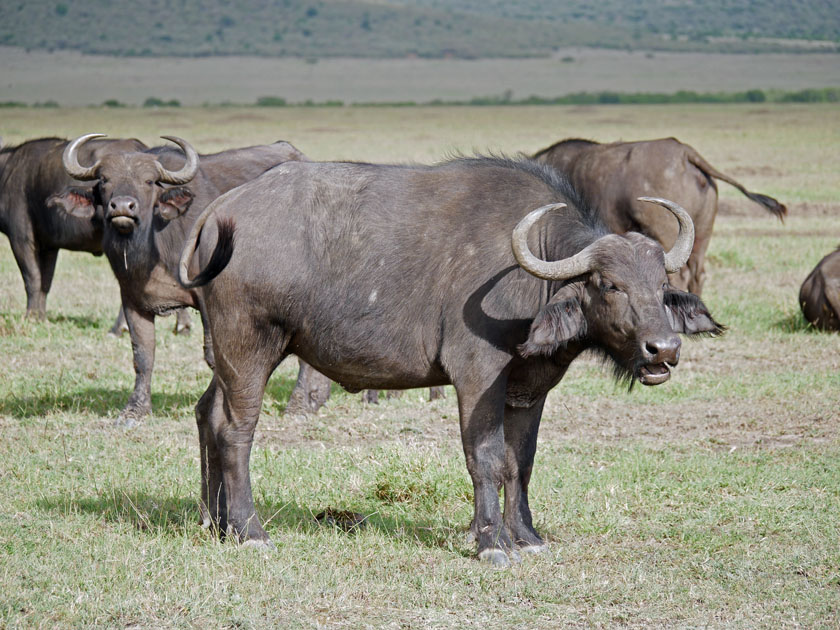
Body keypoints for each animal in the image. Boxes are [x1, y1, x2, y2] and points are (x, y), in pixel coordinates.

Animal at [49, 133, 306, 430]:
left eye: (148, 181)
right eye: (104, 180)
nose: (123, 207)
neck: (152, 250)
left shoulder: (208, 301)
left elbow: (213, 355)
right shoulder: (132, 299)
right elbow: (142, 355)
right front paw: (134, 410)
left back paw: (300, 404)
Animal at [176, 154, 720, 568]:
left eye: (661, 285)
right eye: (609, 285)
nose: (663, 350)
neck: (531, 275)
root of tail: (221, 210)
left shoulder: (529, 389)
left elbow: (520, 461)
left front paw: (525, 536)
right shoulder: (478, 377)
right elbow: (485, 457)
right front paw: (491, 542)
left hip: (226, 355)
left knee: (208, 414)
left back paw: (214, 522)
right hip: (250, 346)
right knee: (236, 431)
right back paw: (250, 531)